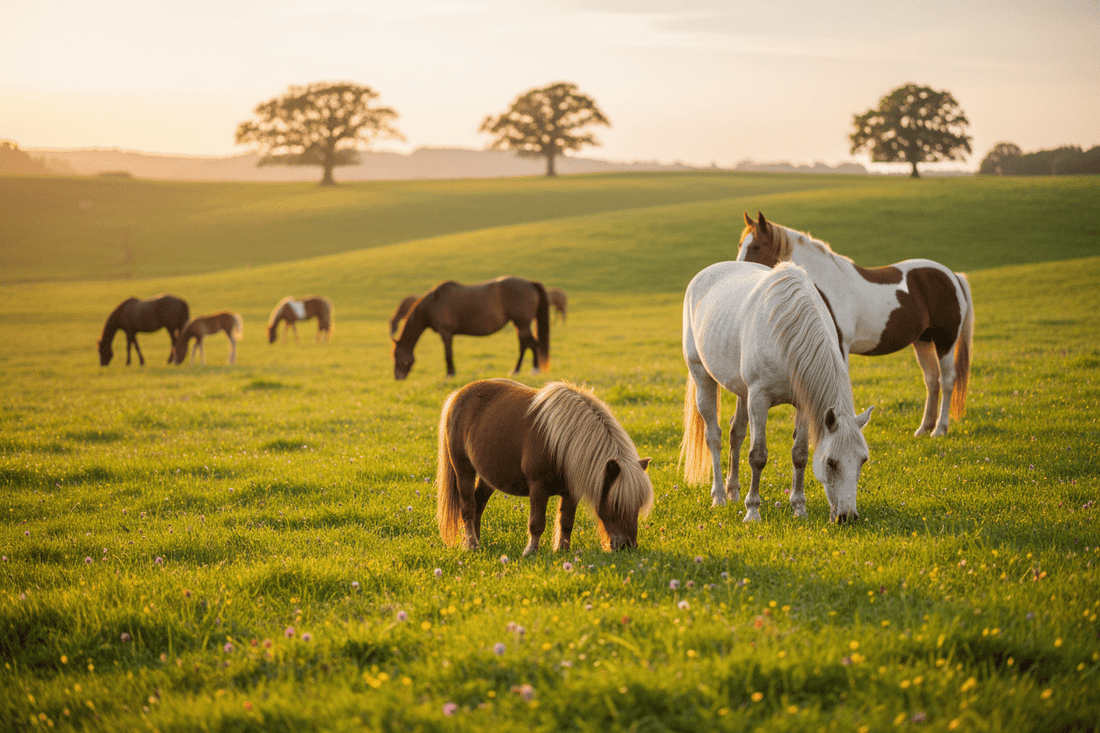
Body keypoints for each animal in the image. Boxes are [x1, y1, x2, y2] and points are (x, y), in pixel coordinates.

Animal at [391, 276, 550, 380]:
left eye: (396, 354)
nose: (397, 377)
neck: (433, 303)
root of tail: (529, 283)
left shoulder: (446, 333)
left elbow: (448, 354)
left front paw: (450, 374)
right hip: (519, 325)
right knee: (526, 345)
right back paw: (518, 371)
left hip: (522, 324)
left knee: (532, 344)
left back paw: (532, 370)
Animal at [435, 379, 654, 555]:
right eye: (616, 505)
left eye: (638, 505)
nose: (628, 547)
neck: (561, 443)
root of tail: (458, 395)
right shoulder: (538, 487)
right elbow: (537, 523)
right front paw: (531, 552)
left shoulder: (571, 492)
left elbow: (566, 522)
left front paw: (563, 551)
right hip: (463, 470)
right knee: (468, 508)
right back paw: (473, 545)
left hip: (488, 477)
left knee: (479, 504)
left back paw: (475, 542)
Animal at [681, 261, 874, 521]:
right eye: (831, 462)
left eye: (863, 460)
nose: (847, 516)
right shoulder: (758, 399)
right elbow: (758, 456)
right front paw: (752, 511)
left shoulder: (803, 404)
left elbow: (800, 455)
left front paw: (799, 508)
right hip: (702, 377)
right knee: (714, 437)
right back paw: (719, 497)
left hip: (741, 391)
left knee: (735, 434)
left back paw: (733, 491)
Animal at [737, 212, 973, 437]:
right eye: (740, 244)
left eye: (756, 246)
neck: (827, 285)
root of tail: (952, 275)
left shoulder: (840, 346)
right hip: (922, 341)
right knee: (932, 380)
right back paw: (924, 428)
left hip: (945, 340)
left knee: (947, 380)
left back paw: (940, 429)